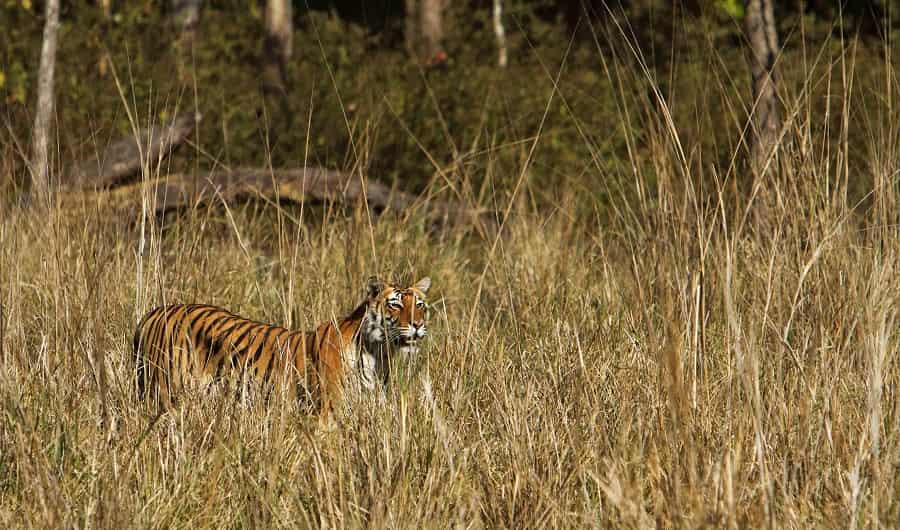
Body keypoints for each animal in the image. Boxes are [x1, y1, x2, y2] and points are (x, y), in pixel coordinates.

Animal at [132, 276, 431, 426]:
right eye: (395, 305)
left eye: (419, 305)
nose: (417, 324)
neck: (378, 354)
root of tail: (153, 313)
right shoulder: (326, 415)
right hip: (165, 394)